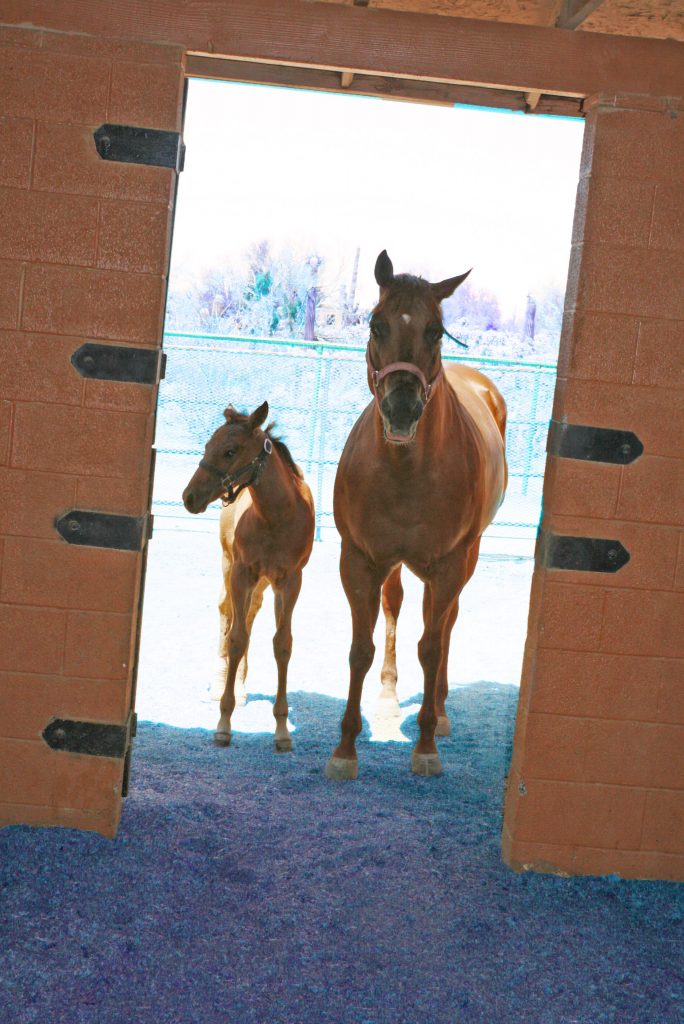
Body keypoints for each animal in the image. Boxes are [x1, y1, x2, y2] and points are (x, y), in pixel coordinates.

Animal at [182, 401, 315, 752]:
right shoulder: (242, 573)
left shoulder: (290, 580)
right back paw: (225, 686)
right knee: (227, 613)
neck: (276, 516)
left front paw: (282, 732)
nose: (189, 497)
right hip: (230, 566)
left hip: (263, 581)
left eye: (230, 451)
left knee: (251, 613)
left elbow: (282, 643)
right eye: (207, 446)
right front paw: (223, 724)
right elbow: (236, 638)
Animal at [326, 251, 507, 780]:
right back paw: (388, 697)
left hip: (463, 560)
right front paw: (345, 750)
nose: (402, 409)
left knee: (443, 627)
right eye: (376, 323)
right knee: (399, 608)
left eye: (435, 330)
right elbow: (360, 649)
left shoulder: (449, 564)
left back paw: (440, 712)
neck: (407, 470)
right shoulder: (359, 560)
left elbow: (431, 645)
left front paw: (425, 746)